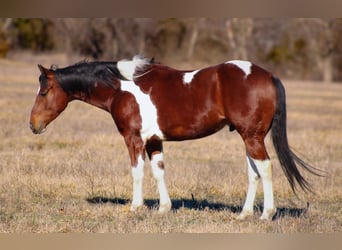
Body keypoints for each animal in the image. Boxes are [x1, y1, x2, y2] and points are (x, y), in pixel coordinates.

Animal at [29, 57, 320, 221]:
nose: (33, 125)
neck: (121, 87)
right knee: (254, 173)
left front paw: (136, 207)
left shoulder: (133, 139)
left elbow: (137, 172)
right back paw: (244, 214)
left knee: (266, 168)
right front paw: (163, 208)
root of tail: (267, 74)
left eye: (44, 91)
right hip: (248, 137)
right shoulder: (154, 141)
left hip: (252, 137)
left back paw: (266, 214)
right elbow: (159, 172)